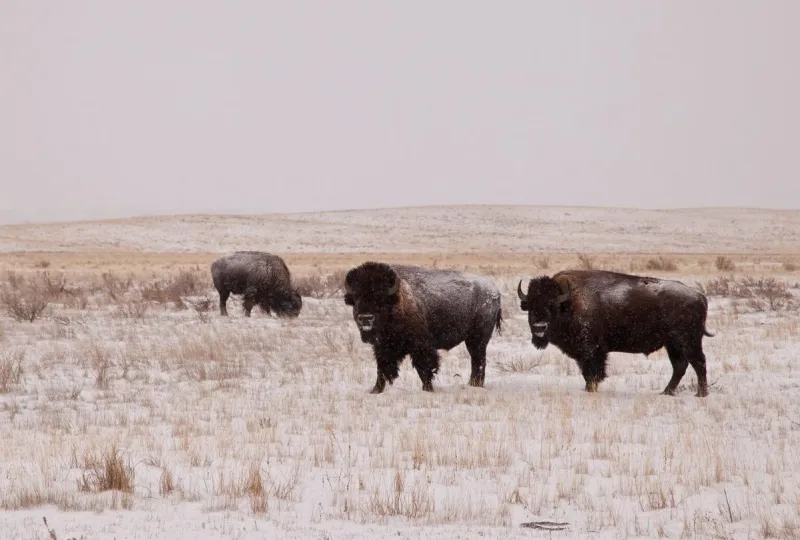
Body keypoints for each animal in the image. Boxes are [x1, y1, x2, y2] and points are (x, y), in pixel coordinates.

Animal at [344, 262, 503, 393]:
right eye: (356, 298)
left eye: (380, 299)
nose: (365, 318)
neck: (397, 301)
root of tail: (495, 291)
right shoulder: (382, 347)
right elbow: (382, 368)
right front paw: (375, 390)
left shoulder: (421, 346)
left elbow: (424, 368)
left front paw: (428, 389)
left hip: (477, 339)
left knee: (478, 360)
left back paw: (475, 384)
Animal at [517, 269, 713, 397]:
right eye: (531, 306)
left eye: (552, 306)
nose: (539, 327)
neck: (570, 303)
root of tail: (699, 295)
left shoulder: (592, 352)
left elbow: (592, 374)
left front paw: (589, 391)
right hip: (672, 344)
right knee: (680, 366)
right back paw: (666, 392)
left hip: (689, 341)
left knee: (698, 363)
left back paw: (700, 394)